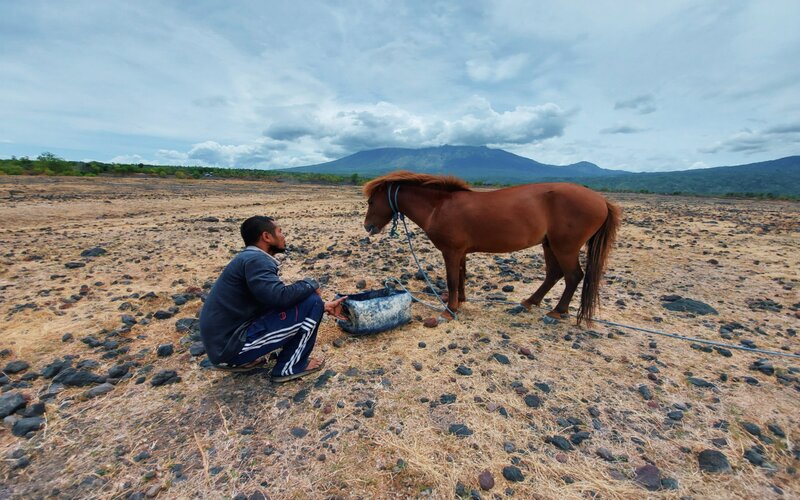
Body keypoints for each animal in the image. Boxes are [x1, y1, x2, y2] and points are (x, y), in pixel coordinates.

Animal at [360, 171, 620, 324]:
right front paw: (460, 301)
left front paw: (449, 310)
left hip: (565, 247)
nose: (367, 226)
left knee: (573, 276)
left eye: (371, 201)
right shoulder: (460, 253)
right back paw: (529, 303)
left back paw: (557, 311)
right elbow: (461, 277)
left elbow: (452, 279)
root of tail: (601, 200)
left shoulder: (451, 252)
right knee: (554, 275)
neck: (439, 207)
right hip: (549, 245)